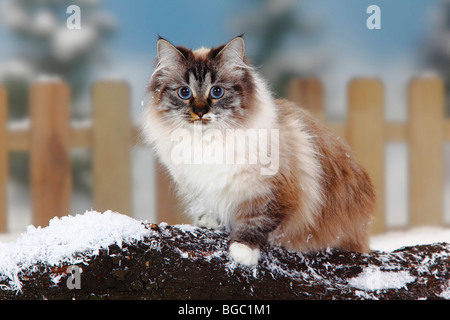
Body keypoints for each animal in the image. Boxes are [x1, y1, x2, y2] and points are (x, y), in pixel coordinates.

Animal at [142, 35, 376, 266]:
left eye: (217, 92)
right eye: (185, 92)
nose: (200, 112)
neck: (208, 142)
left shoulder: (273, 192)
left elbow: (256, 220)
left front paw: (243, 250)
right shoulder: (198, 187)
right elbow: (209, 206)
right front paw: (210, 221)